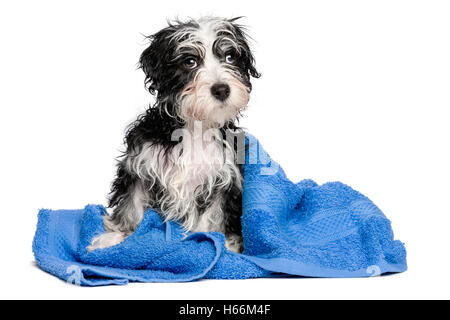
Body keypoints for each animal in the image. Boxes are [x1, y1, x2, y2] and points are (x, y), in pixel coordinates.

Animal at [88, 16, 260, 252]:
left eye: (230, 57)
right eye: (190, 61)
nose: (222, 89)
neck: (195, 127)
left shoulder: (223, 178)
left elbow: (213, 215)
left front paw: (217, 245)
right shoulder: (141, 164)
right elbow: (132, 206)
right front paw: (118, 237)